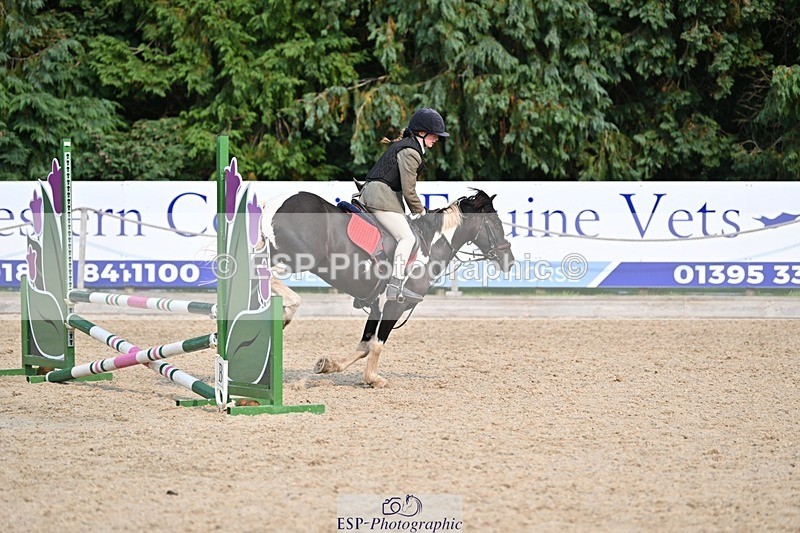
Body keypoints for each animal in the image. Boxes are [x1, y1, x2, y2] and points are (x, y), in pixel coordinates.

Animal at [261, 189, 515, 388]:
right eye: (496, 224)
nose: (509, 260)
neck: (429, 246)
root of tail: (273, 204)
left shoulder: (376, 306)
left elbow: (364, 345)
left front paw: (329, 365)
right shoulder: (394, 306)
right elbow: (377, 344)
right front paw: (373, 378)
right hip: (298, 259)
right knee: (265, 277)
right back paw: (287, 312)